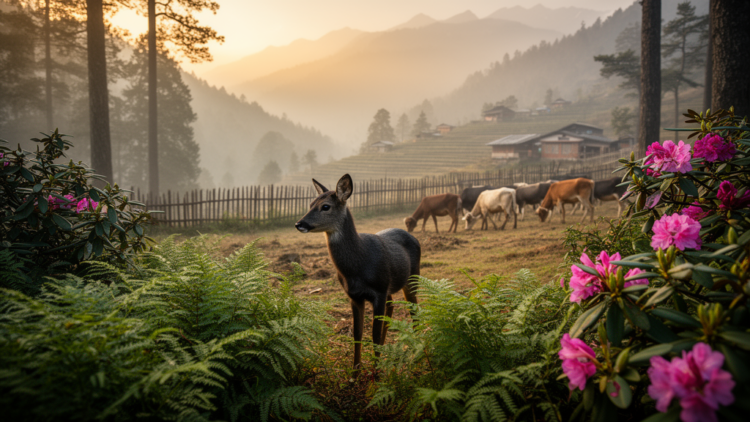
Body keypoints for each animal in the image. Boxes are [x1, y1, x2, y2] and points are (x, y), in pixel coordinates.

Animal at [295, 174, 420, 369]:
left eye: (325, 206)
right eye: (310, 204)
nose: (299, 223)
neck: (358, 265)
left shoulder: (379, 291)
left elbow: (374, 334)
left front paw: (375, 372)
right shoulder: (354, 296)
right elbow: (357, 333)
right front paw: (356, 370)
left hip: (412, 278)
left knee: (414, 311)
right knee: (392, 306)